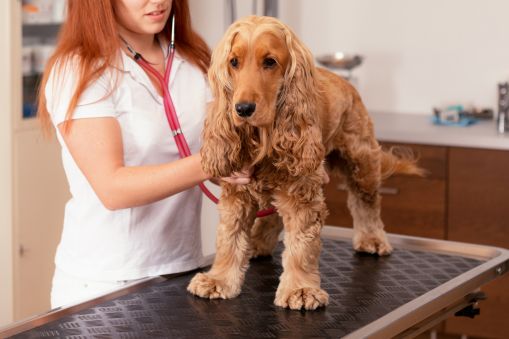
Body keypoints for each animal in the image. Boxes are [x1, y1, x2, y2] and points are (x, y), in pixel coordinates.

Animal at [187, 15, 420, 310]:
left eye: (270, 62)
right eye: (234, 62)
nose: (242, 109)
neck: (266, 136)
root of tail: (347, 83)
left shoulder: (303, 192)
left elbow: (302, 244)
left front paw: (300, 290)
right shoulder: (236, 192)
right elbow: (229, 238)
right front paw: (218, 279)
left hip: (361, 159)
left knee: (366, 202)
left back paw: (372, 239)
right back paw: (258, 243)